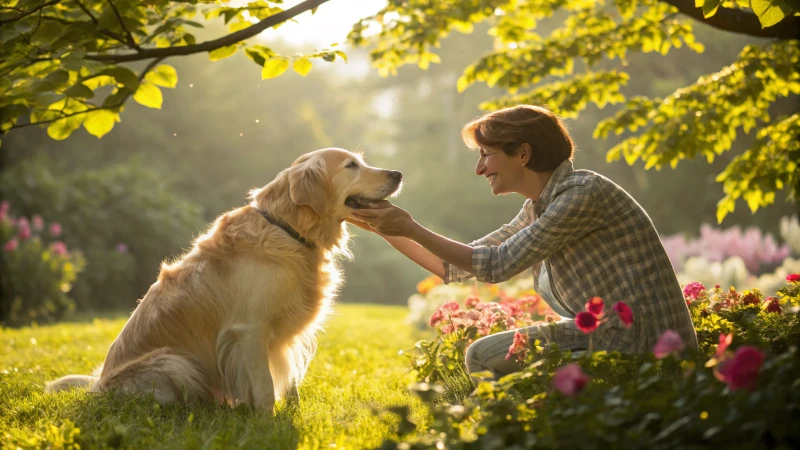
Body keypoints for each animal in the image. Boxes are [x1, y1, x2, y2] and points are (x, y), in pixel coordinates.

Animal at [43, 148, 400, 412]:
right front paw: (268, 425)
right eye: (351, 166)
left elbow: (291, 385)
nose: (398, 174)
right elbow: (265, 389)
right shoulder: (249, 331)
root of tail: (98, 386)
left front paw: (295, 415)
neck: (288, 230)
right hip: (174, 362)